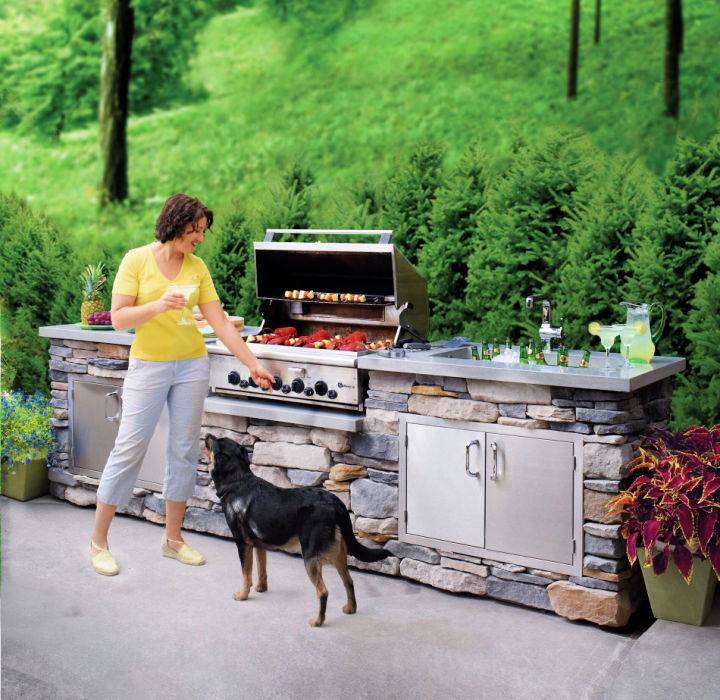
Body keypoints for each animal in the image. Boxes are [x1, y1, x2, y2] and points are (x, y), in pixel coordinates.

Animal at [205, 434, 390, 628]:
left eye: (215, 441)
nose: (207, 435)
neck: (237, 480)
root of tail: (335, 503)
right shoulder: (259, 545)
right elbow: (262, 569)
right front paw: (261, 588)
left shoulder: (242, 543)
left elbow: (246, 574)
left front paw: (243, 595)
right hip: (339, 554)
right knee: (349, 582)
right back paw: (350, 609)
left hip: (310, 557)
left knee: (323, 592)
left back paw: (317, 621)